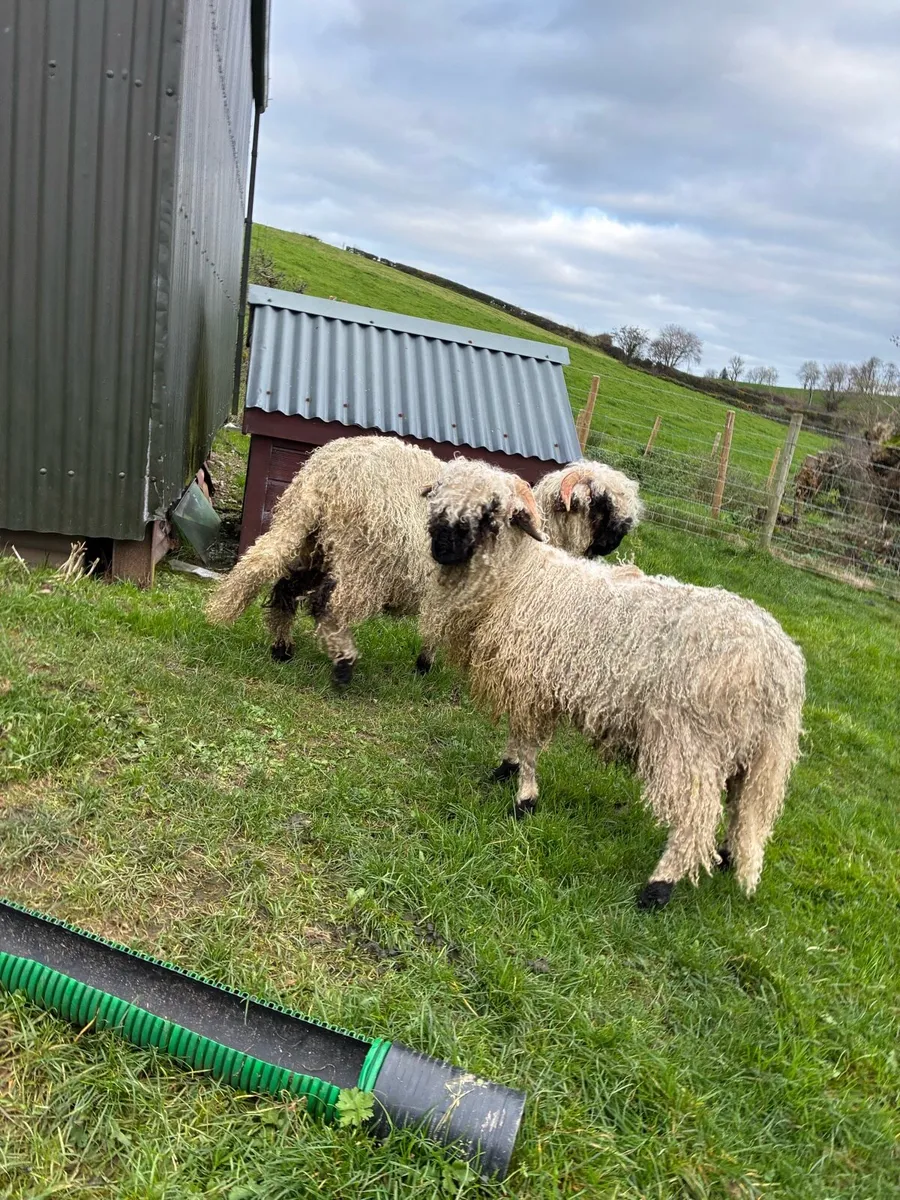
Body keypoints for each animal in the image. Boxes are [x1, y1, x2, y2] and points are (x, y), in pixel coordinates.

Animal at [206, 434, 641, 685]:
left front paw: (426, 663)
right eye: (602, 502)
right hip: (365, 559)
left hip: (312, 541)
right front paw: (431, 665)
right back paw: (344, 664)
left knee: (281, 584)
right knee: (327, 606)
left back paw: (281, 650)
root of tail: (324, 474)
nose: (619, 537)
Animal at [419, 458, 806, 909]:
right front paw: (505, 768)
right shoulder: (526, 684)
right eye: (437, 498)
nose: (441, 547)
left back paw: (657, 888)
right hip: (756, 752)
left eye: (490, 512)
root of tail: (780, 667)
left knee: (696, 817)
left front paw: (524, 798)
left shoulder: (534, 683)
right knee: (743, 807)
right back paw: (726, 857)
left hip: (688, 740)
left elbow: (529, 744)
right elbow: (517, 737)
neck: (521, 578)